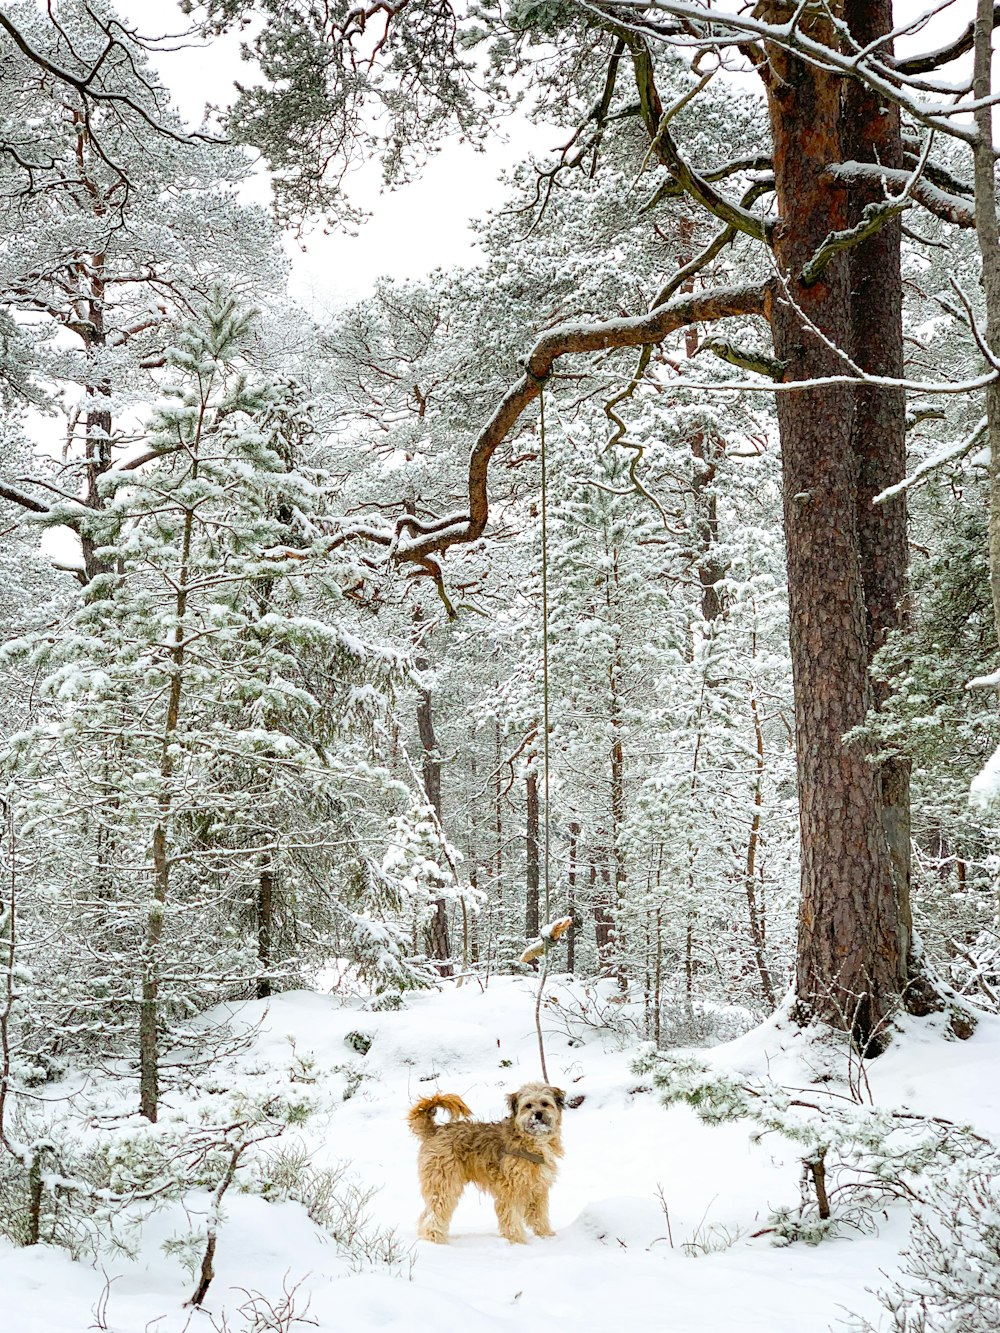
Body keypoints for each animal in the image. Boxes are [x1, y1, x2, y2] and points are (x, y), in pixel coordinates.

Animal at [408, 1087, 565, 1242]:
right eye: (528, 1105)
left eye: (545, 1104)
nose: (538, 1114)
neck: (530, 1141)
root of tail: (436, 1130)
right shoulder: (510, 1189)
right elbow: (511, 1217)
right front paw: (517, 1240)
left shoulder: (538, 1188)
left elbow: (539, 1215)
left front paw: (546, 1235)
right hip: (444, 1182)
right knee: (435, 1212)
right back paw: (434, 1238)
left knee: (427, 1213)